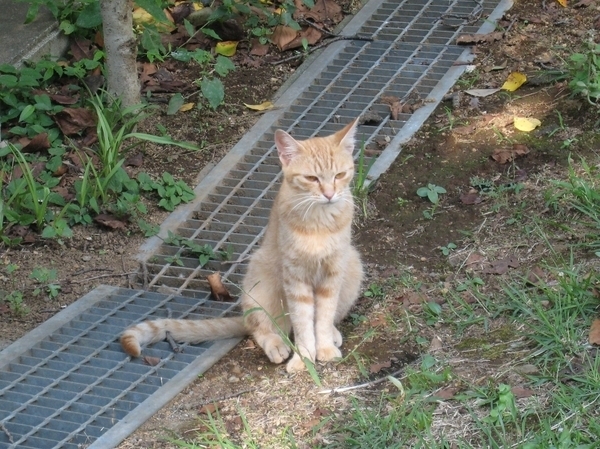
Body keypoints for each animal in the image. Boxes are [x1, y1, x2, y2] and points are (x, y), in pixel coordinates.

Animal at [120, 118, 364, 372]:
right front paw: (304, 357)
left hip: (353, 265)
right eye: (312, 179)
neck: (319, 222)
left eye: (339, 175)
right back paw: (275, 344)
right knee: (261, 326)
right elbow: (303, 324)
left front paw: (324, 348)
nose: (329, 194)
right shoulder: (295, 278)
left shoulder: (332, 273)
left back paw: (332, 335)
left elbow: (323, 317)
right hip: (262, 280)